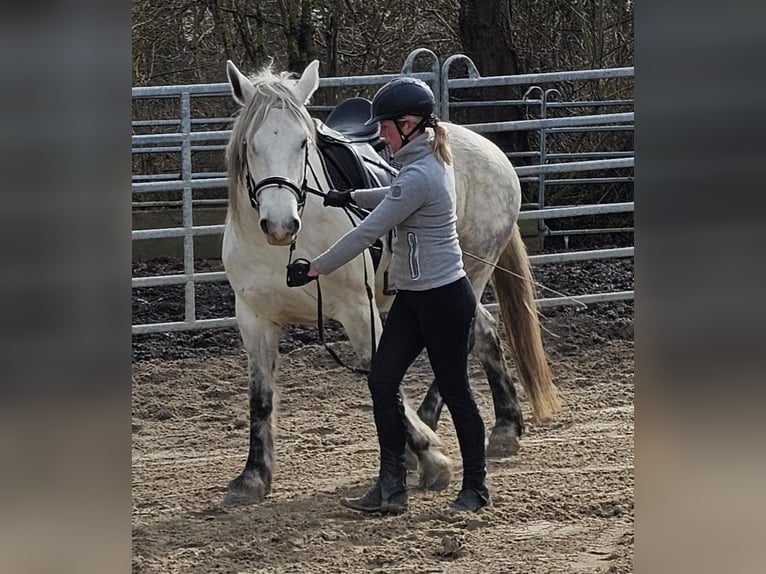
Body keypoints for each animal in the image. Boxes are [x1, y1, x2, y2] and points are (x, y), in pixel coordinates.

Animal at [219, 59, 560, 508]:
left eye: (303, 143)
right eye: (250, 146)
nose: (280, 225)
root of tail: (491, 151)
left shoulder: (358, 312)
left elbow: (383, 380)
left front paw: (431, 457)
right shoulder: (254, 320)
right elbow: (260, 397)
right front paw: (252, 477)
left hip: (469, 272)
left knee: (466, 337)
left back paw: (438, 433)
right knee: (485, 331)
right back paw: (505, 427)